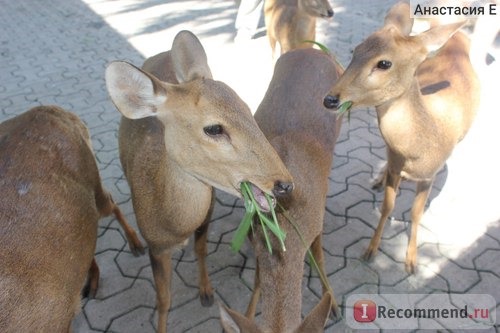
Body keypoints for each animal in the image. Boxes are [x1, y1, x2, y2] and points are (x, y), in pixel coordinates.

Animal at [105, 29, 292, 332]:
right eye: (214, 128)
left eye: (247, 108)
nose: (285, 183)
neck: (173, 222)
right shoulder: (155, 245)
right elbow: (163, 299)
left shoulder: (207, 213)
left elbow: (201, 249)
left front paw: (206, 292)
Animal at [219, 47, 344, 332]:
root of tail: (312, 49)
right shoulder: (256, 233)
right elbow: (256, 279)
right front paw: (249, 311)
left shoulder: (315, 225)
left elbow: (319, 258)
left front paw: (333, 302)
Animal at [324, 1, 480, 272]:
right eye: (356, 50)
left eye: (384, 63)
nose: (331, 99)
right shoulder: (395, 163)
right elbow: (388, 205)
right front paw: (370, 250)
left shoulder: (428, 176)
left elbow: (416, 213)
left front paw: (411, 261)